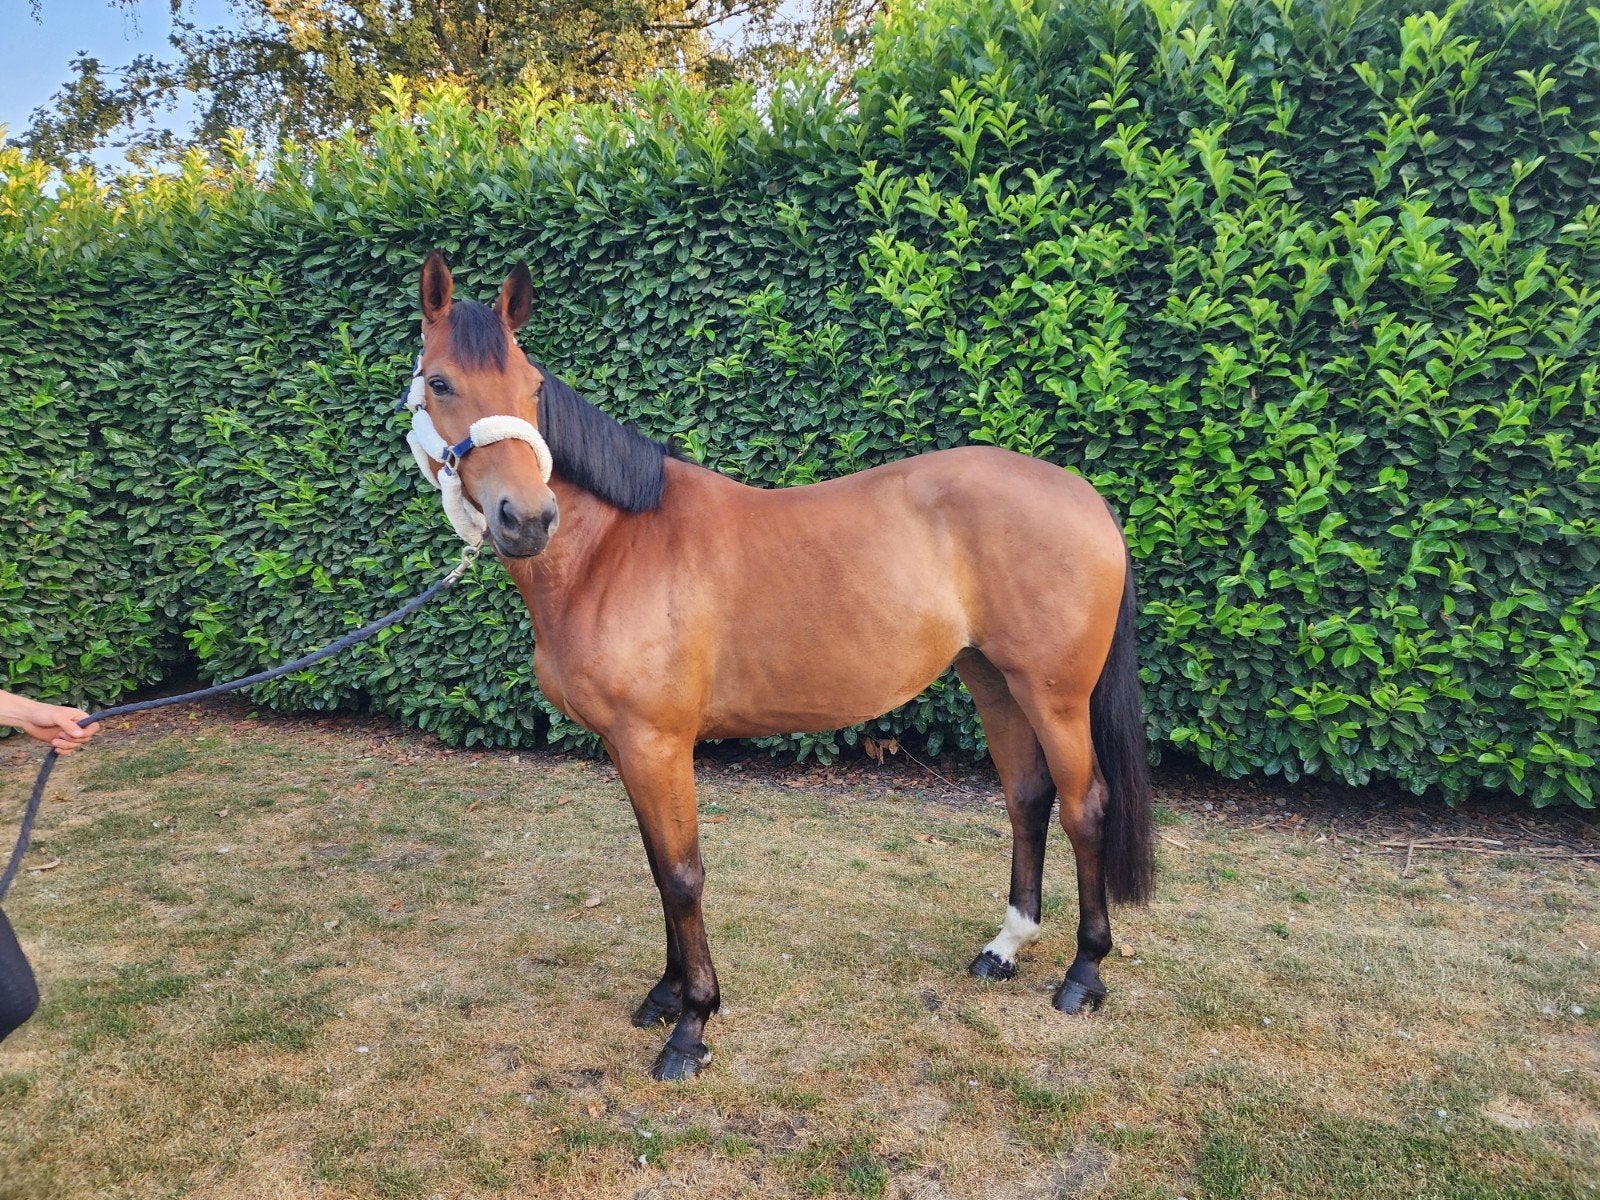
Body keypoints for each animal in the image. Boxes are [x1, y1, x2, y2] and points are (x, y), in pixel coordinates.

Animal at [405, 252, 1154, 1081]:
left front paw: (691, 1026)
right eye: (440, 382)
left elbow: (683, 876)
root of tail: (1085, 496)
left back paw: (1084, 974)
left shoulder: (657, 743)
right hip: (994, 682)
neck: (613, 549)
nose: (529, 518)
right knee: (1028, 798)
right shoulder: (628, 748)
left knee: (1086, 806)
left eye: (532, 386)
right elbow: (657, 868)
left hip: (1055, 697)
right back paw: (1006, 947)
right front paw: (666, 994)